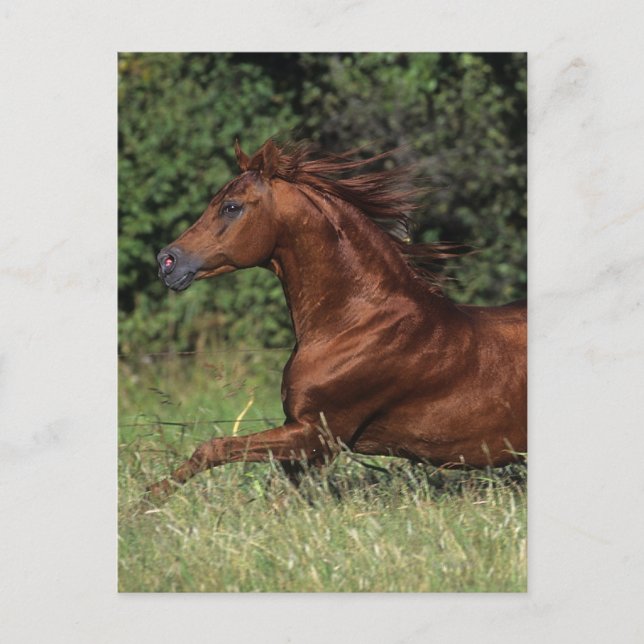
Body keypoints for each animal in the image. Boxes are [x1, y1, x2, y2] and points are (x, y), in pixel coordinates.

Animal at [148, 138, 527, 499]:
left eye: (231, 206)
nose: (167, 262)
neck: (357, 323)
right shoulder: (303, 436)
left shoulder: (319, 435)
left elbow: (214, 448)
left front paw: (149, 501)